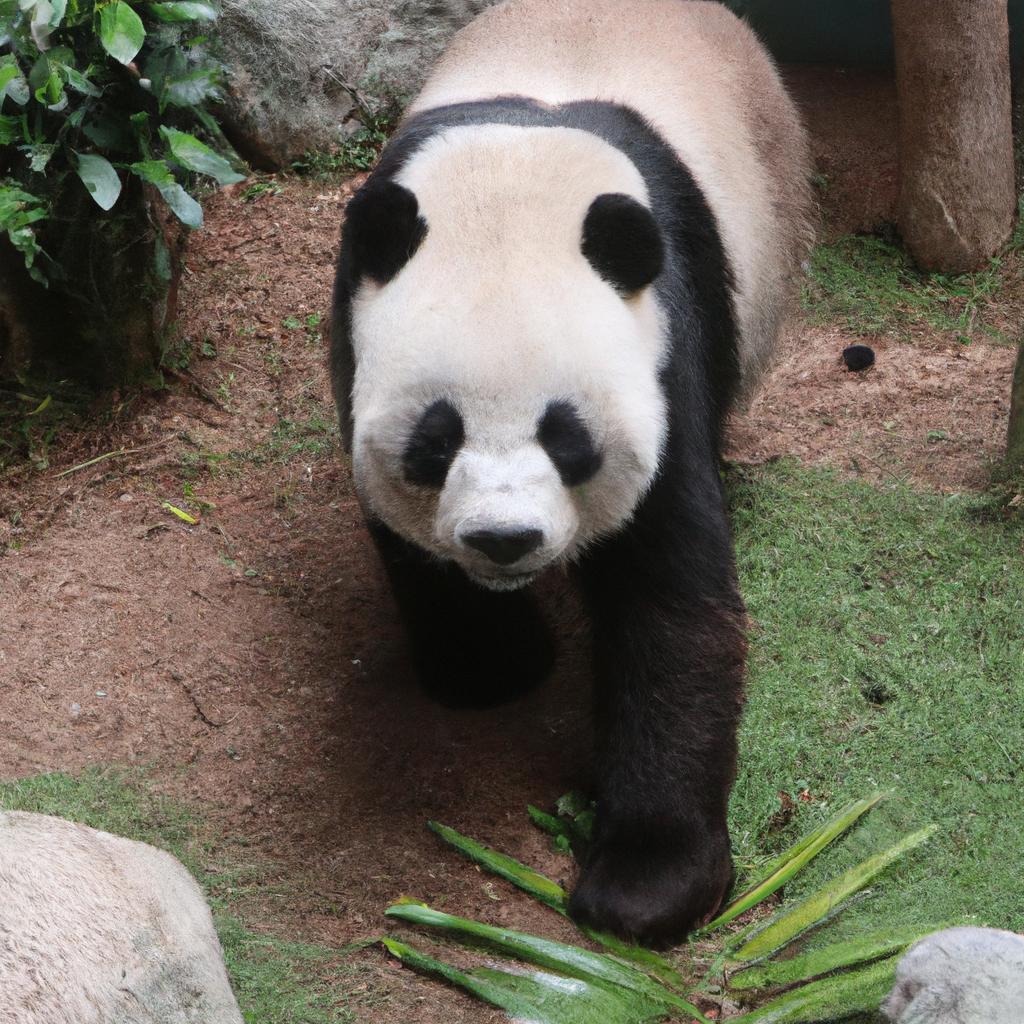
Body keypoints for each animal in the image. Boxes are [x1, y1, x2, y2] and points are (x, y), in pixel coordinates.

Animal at [331, 0, 811, 942]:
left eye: (567, 439)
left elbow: (669, 597)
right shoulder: (351, 328)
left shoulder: (667, 341)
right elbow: (406, 542)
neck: (515, 181)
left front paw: (650, 883)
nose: (505, 540)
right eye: (436, 442)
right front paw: (488, 667)